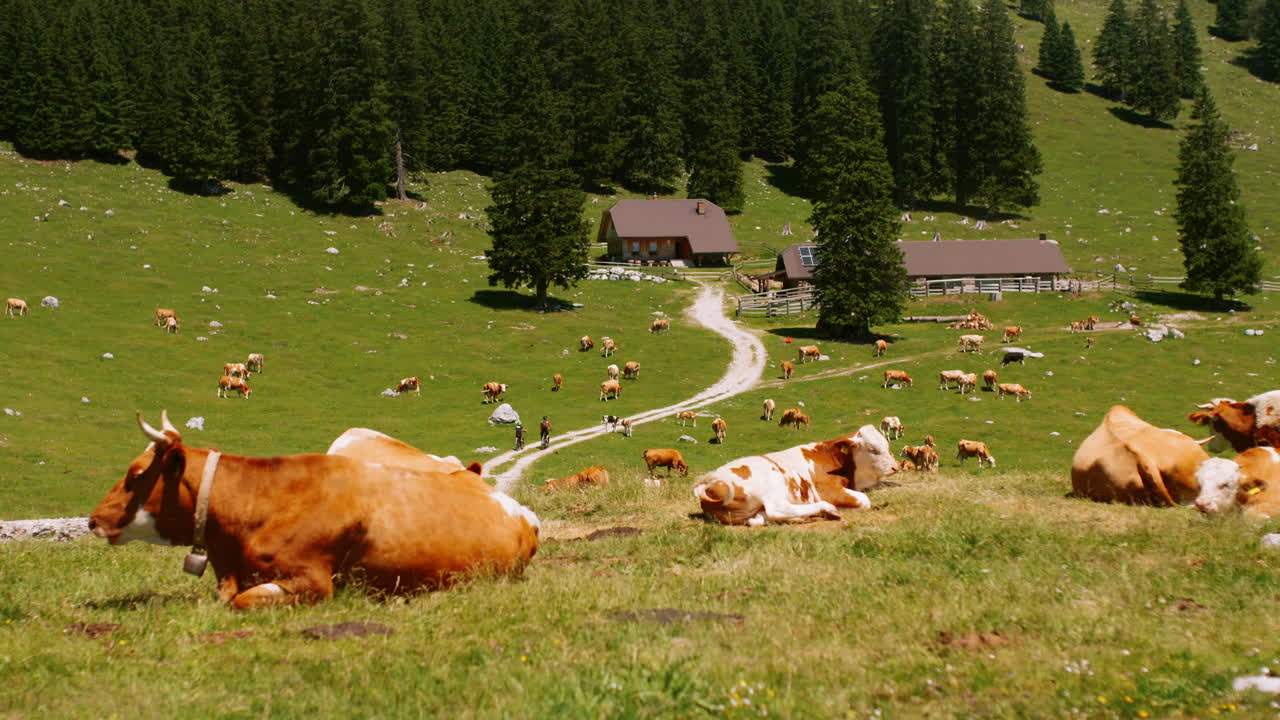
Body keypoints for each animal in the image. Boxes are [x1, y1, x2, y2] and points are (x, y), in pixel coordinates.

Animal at [693, 426, 900, 526]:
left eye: (887, 445)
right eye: (873, 449)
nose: (896, 467)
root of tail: (710, 483)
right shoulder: (828, 490)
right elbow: (865, 500)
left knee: (758, 519)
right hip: (773, 481)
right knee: (776, 509)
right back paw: (826, 509)